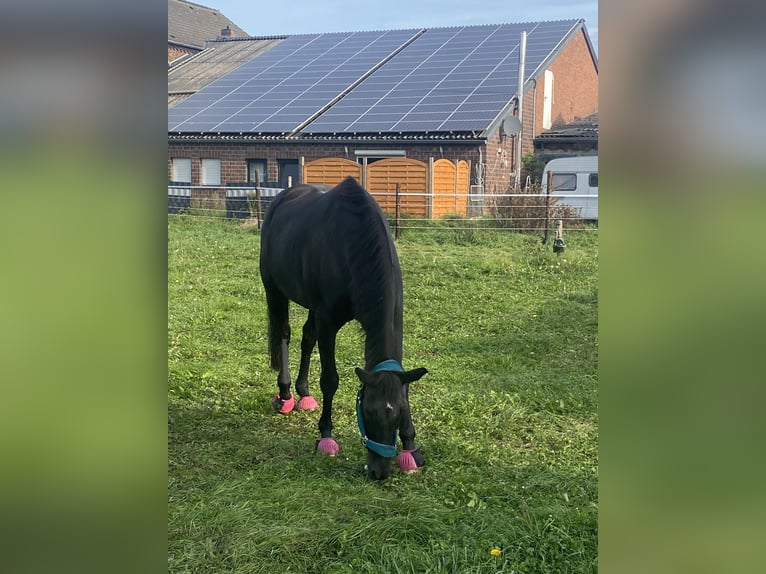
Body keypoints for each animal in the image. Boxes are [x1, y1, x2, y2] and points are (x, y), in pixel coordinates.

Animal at [259, 176, 428, 480]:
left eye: (398, 413)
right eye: (368, 412)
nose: (379, 472)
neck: (354, 244)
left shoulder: (395, 319)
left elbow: (404, 385)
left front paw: (411, 448)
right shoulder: (328, 321)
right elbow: (330, 379)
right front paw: (326, 435)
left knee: (306, 337)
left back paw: (304, 393)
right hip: (274, 290)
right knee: (284, 334)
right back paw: (286, 393)